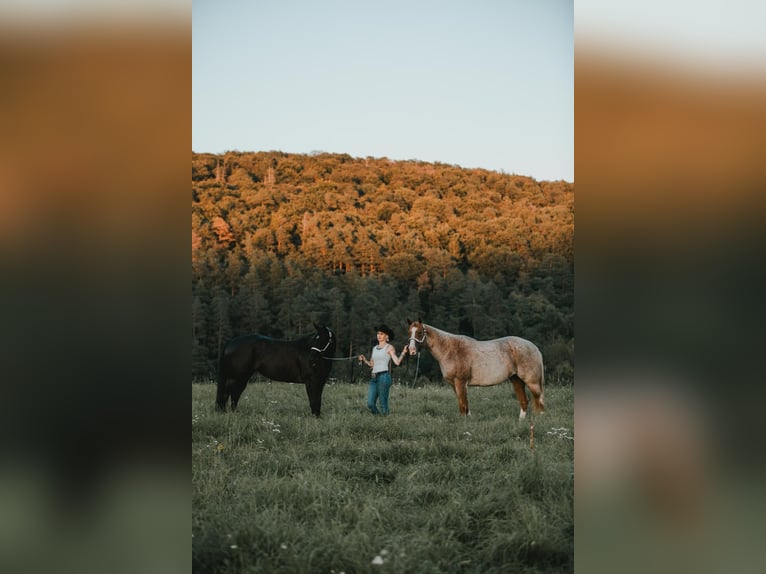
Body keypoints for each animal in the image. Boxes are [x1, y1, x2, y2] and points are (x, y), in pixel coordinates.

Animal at [408, 320, 544, 418]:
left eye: (419, 332)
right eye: (409, 332)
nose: (412, 351)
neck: (450, 349)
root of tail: (534, 347)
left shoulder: (460, 382)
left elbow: (463, 405)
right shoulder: (454, 384)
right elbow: (464, 404)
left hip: (532, 382)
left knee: (539, 401)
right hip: (516, 380)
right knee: (524, 401)